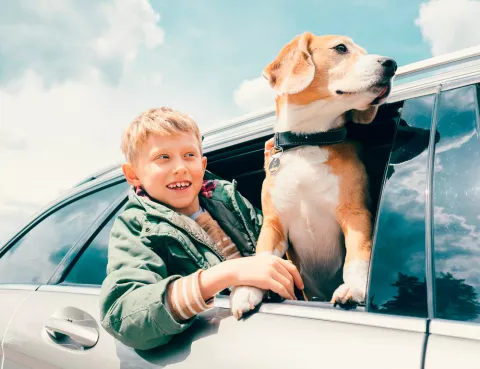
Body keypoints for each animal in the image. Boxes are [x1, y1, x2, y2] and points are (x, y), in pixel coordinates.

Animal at [231, 32, 396, 320]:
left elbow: (358, 254)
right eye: (341, 48)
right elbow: (263, 257)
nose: (392, 64)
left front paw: (354, 288)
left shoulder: (356, 214)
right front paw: (246, 292)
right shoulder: (274, 223)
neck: (306, 142)